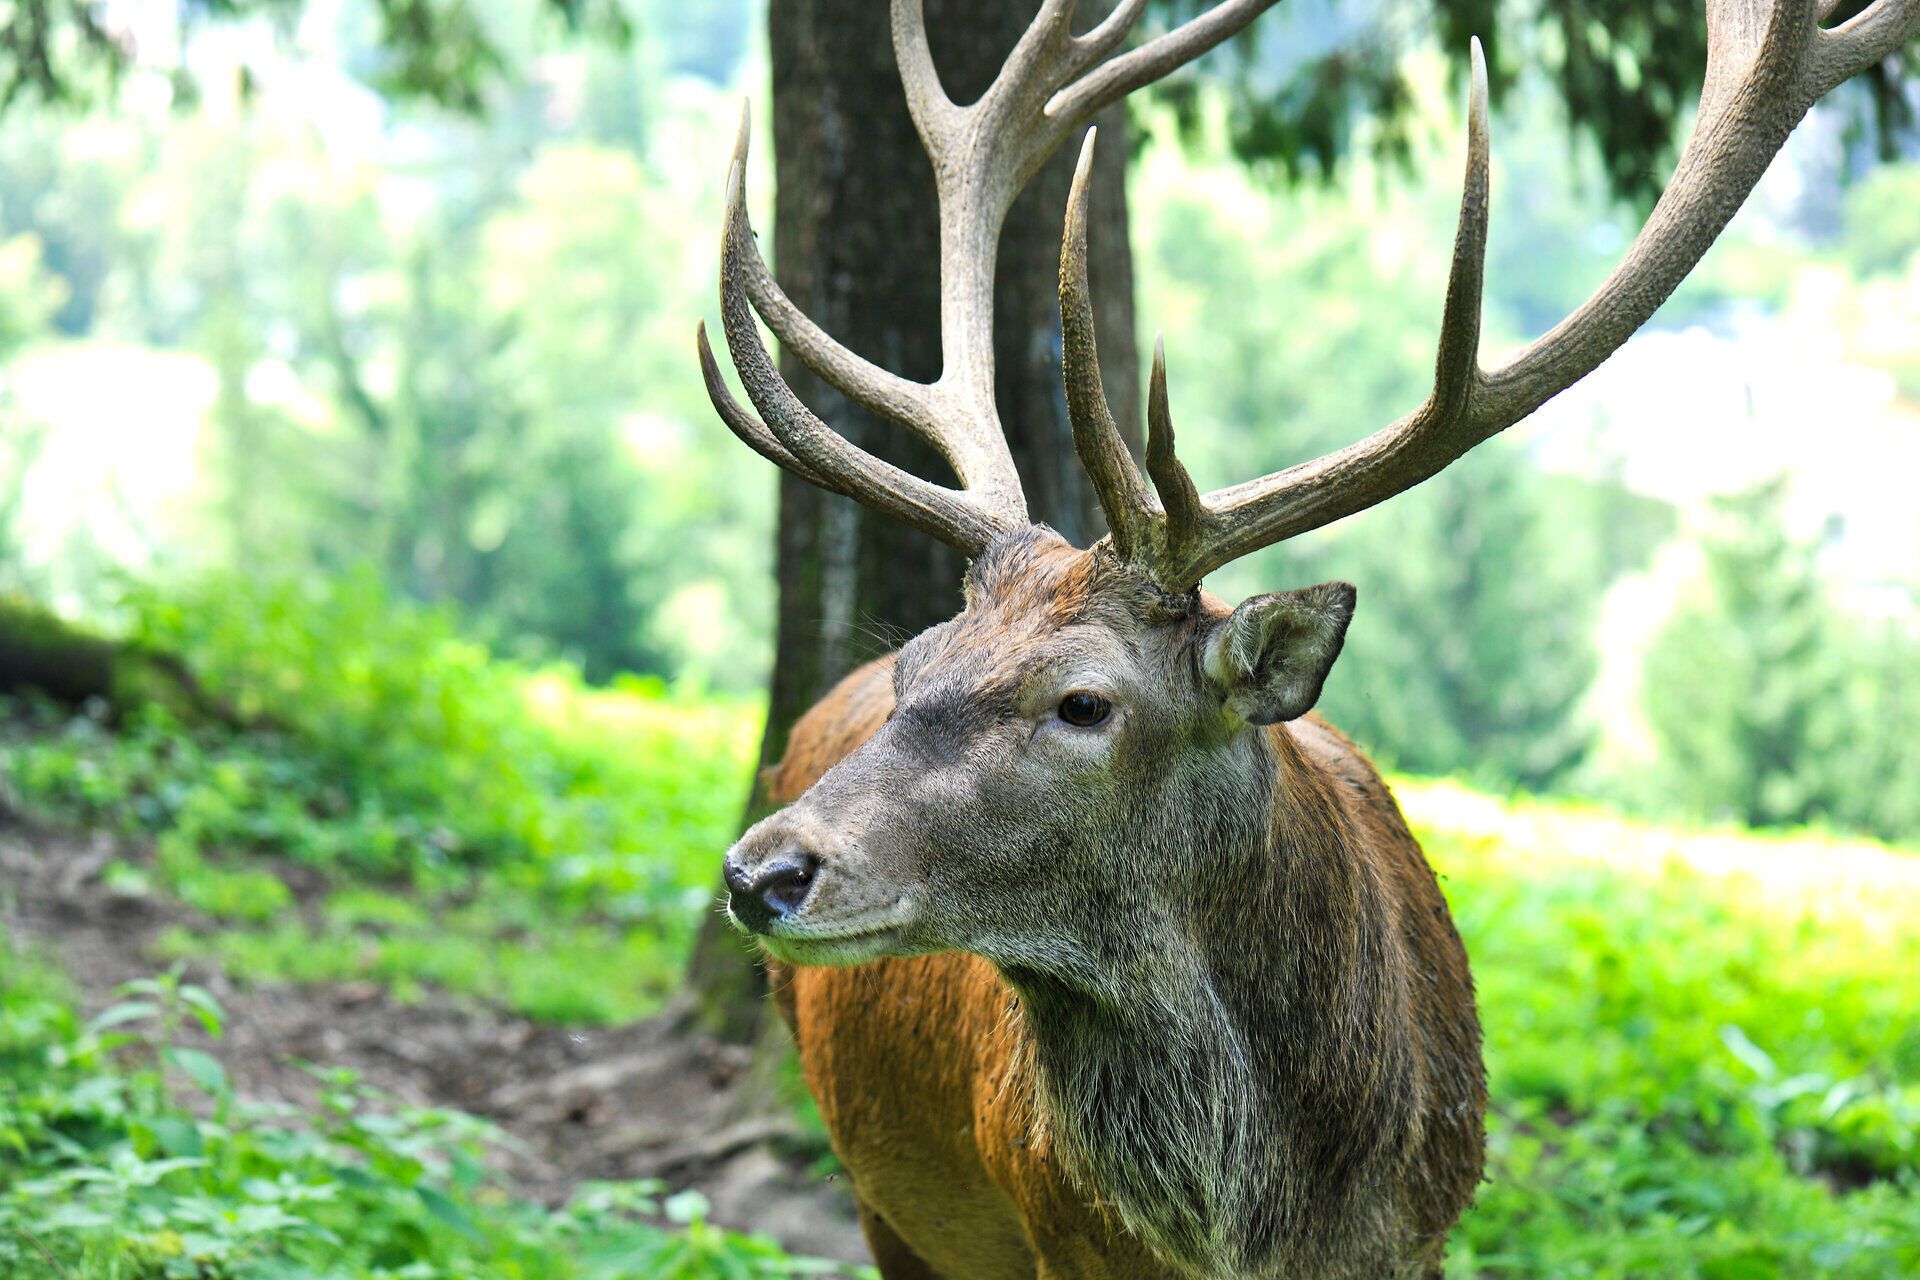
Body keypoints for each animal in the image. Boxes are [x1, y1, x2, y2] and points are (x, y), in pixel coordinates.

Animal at [694, 1, 1919, 1276]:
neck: (1272, 1219)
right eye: (917, 665)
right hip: (884, 1196)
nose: (760, 868)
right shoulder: (1057, 1238)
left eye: (1084, 702)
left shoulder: (1427, 1224)